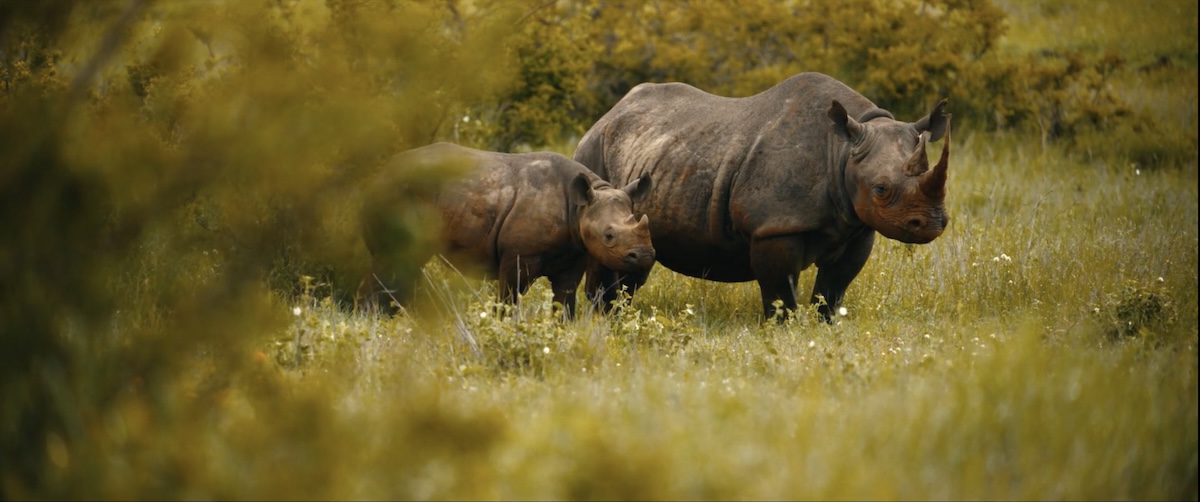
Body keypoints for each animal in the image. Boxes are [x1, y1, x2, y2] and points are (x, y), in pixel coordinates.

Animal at [358, 142, 655, 319]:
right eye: (609, 236)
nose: (645, 256)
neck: (579, 207)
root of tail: (379, 174)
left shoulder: (574, 254)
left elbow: (564, 302)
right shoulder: (518, 255)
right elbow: (508, 299)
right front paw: (503, 328)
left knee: (406, 264)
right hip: (395, 193)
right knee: (390, 261)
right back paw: (373, 320)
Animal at [572, 72, 950, 322]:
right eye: (881, 189)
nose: (931, 223)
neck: (843, 151)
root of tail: (606, 116)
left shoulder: (858, 226)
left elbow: (834, 286)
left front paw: (825, 325)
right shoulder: (774, 226)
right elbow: (780, 291)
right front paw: (783, 329)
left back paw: (617, 316)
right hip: (593, 153)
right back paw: (601, 318)